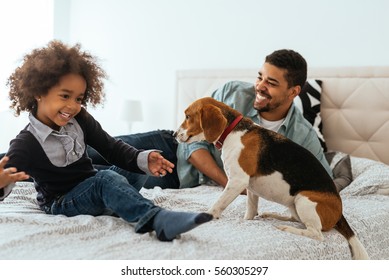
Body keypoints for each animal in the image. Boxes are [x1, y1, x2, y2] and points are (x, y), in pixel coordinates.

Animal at [174, 97, 368, 260]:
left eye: (188, 116)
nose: (175, 135)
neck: (231, 132)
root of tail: (340, 213)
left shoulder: (237, 182)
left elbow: (218, 204)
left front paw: (206, 215)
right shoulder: (250, 188)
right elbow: (250, 211)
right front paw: (249, 219)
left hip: (304, 199)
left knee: (316, 233)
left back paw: (286, 228)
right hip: (294, 204)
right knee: (297, 220)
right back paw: (272, 216)